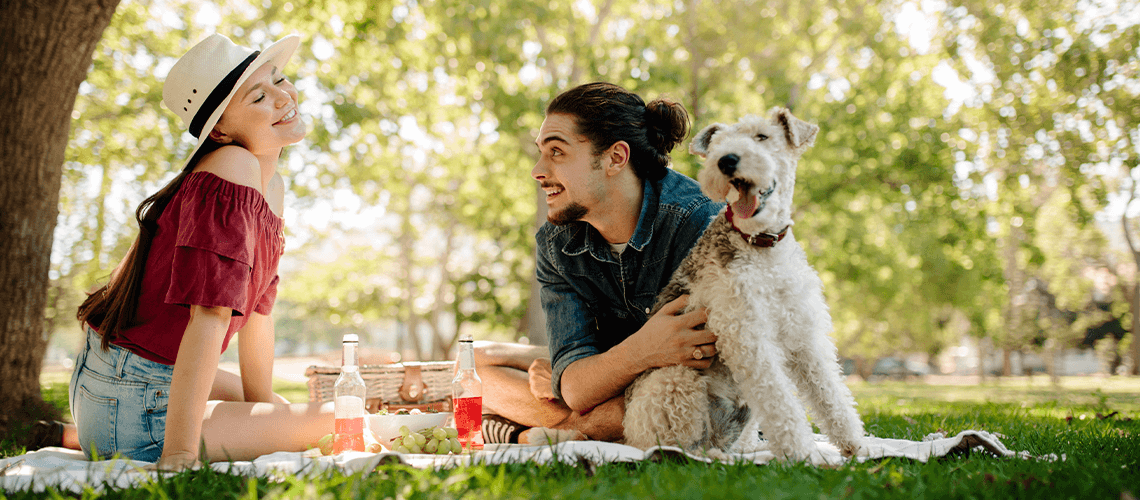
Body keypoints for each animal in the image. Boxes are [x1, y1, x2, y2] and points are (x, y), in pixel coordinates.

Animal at [624, 108, 861, 462]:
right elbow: (782, 404)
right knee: (677, 446)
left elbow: (829, 393)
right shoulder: (747, 337)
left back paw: (749, 448)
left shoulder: (803, 333)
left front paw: (855, 444)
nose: (726, 161)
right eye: (717, 144)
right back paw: (715, 455)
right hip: (675, 380)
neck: (763, 246)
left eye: (762, 136)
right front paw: (805, 454)